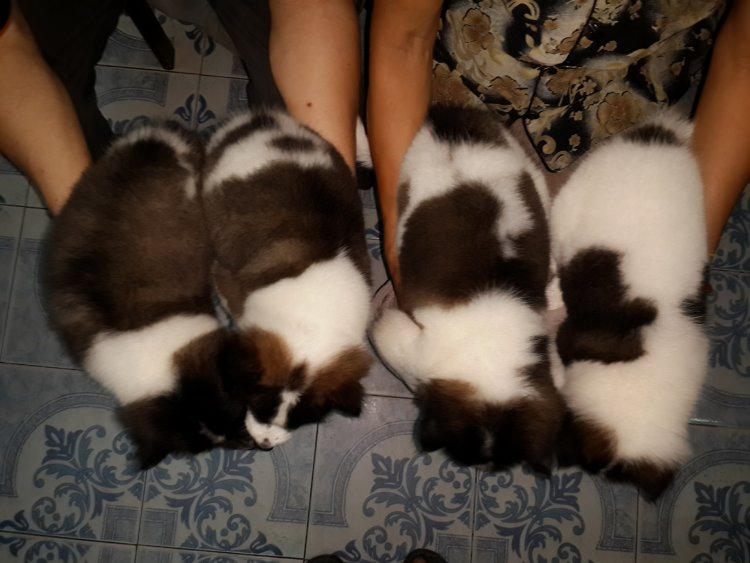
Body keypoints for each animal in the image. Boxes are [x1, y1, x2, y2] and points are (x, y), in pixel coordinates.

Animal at [201, 109, 373, 450]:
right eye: (258, 404)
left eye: (301, 419)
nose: (265, 445)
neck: (312, 319)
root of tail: (259, 119)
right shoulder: (226, 279)